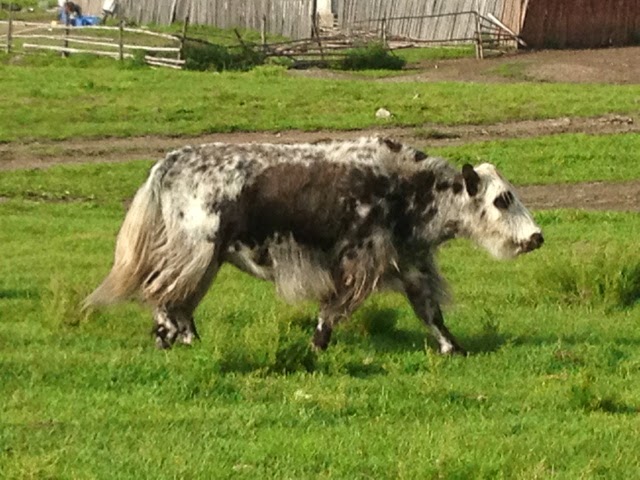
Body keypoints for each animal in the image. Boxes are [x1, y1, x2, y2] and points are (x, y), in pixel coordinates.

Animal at [84, 137, 543, 355]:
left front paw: (454, 349)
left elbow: (430, 311)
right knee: (162, 292)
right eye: (502, 199)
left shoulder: (408, 263)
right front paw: (316, 346)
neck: (404, 188)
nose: (537, 237)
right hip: (196, 250)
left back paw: (187, 339)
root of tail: (167, 163)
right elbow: (333, 308)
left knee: (179, 299)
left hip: (208, 259)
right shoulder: (357, 262)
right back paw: (168, 338)